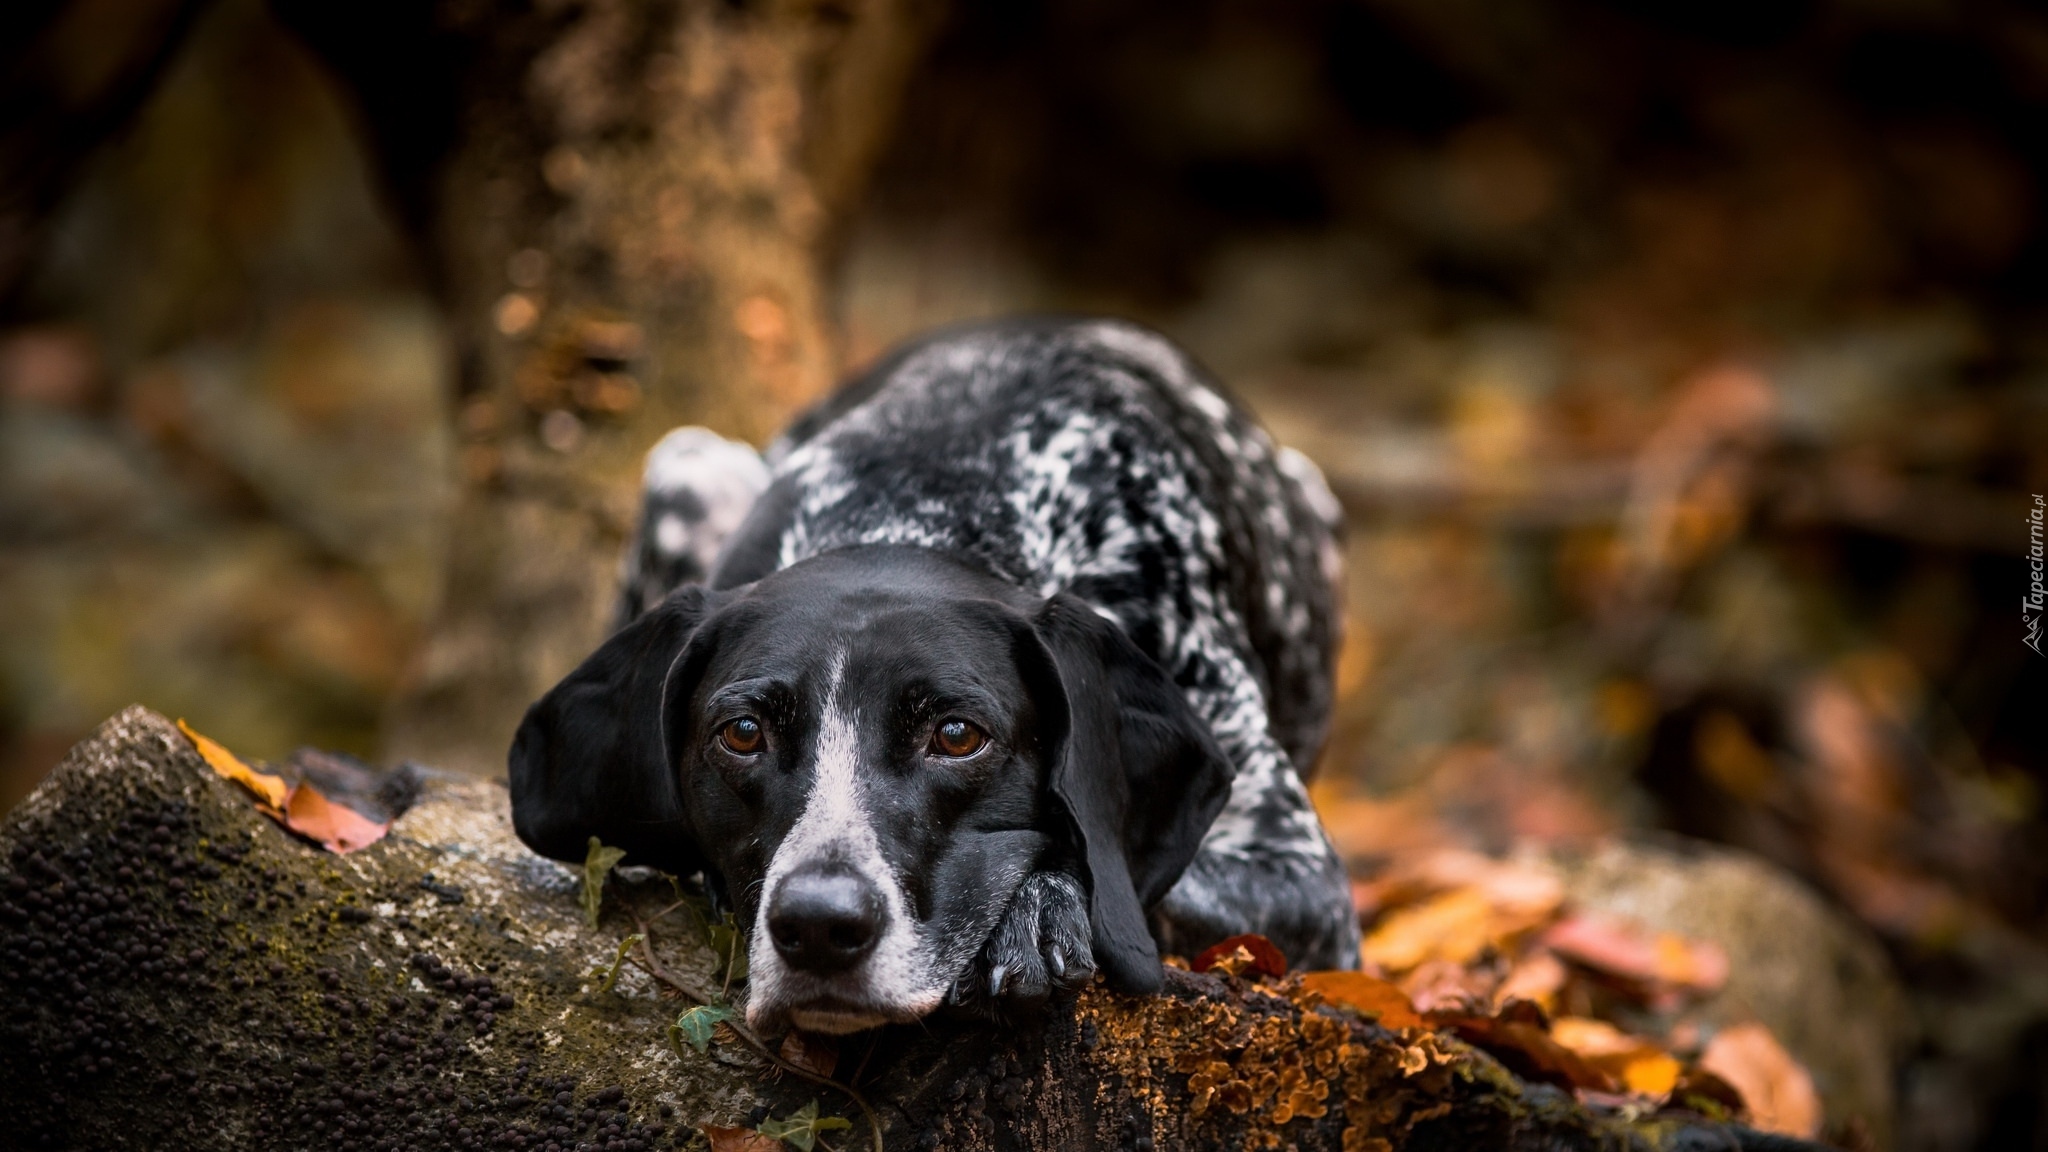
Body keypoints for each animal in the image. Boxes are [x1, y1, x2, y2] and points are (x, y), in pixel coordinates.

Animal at [507, 315, 1359, 1033]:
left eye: (957, 735)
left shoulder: (1303, 879)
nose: (820, 924)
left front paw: (1039, 907)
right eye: (741, 733)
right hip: (688, 466)